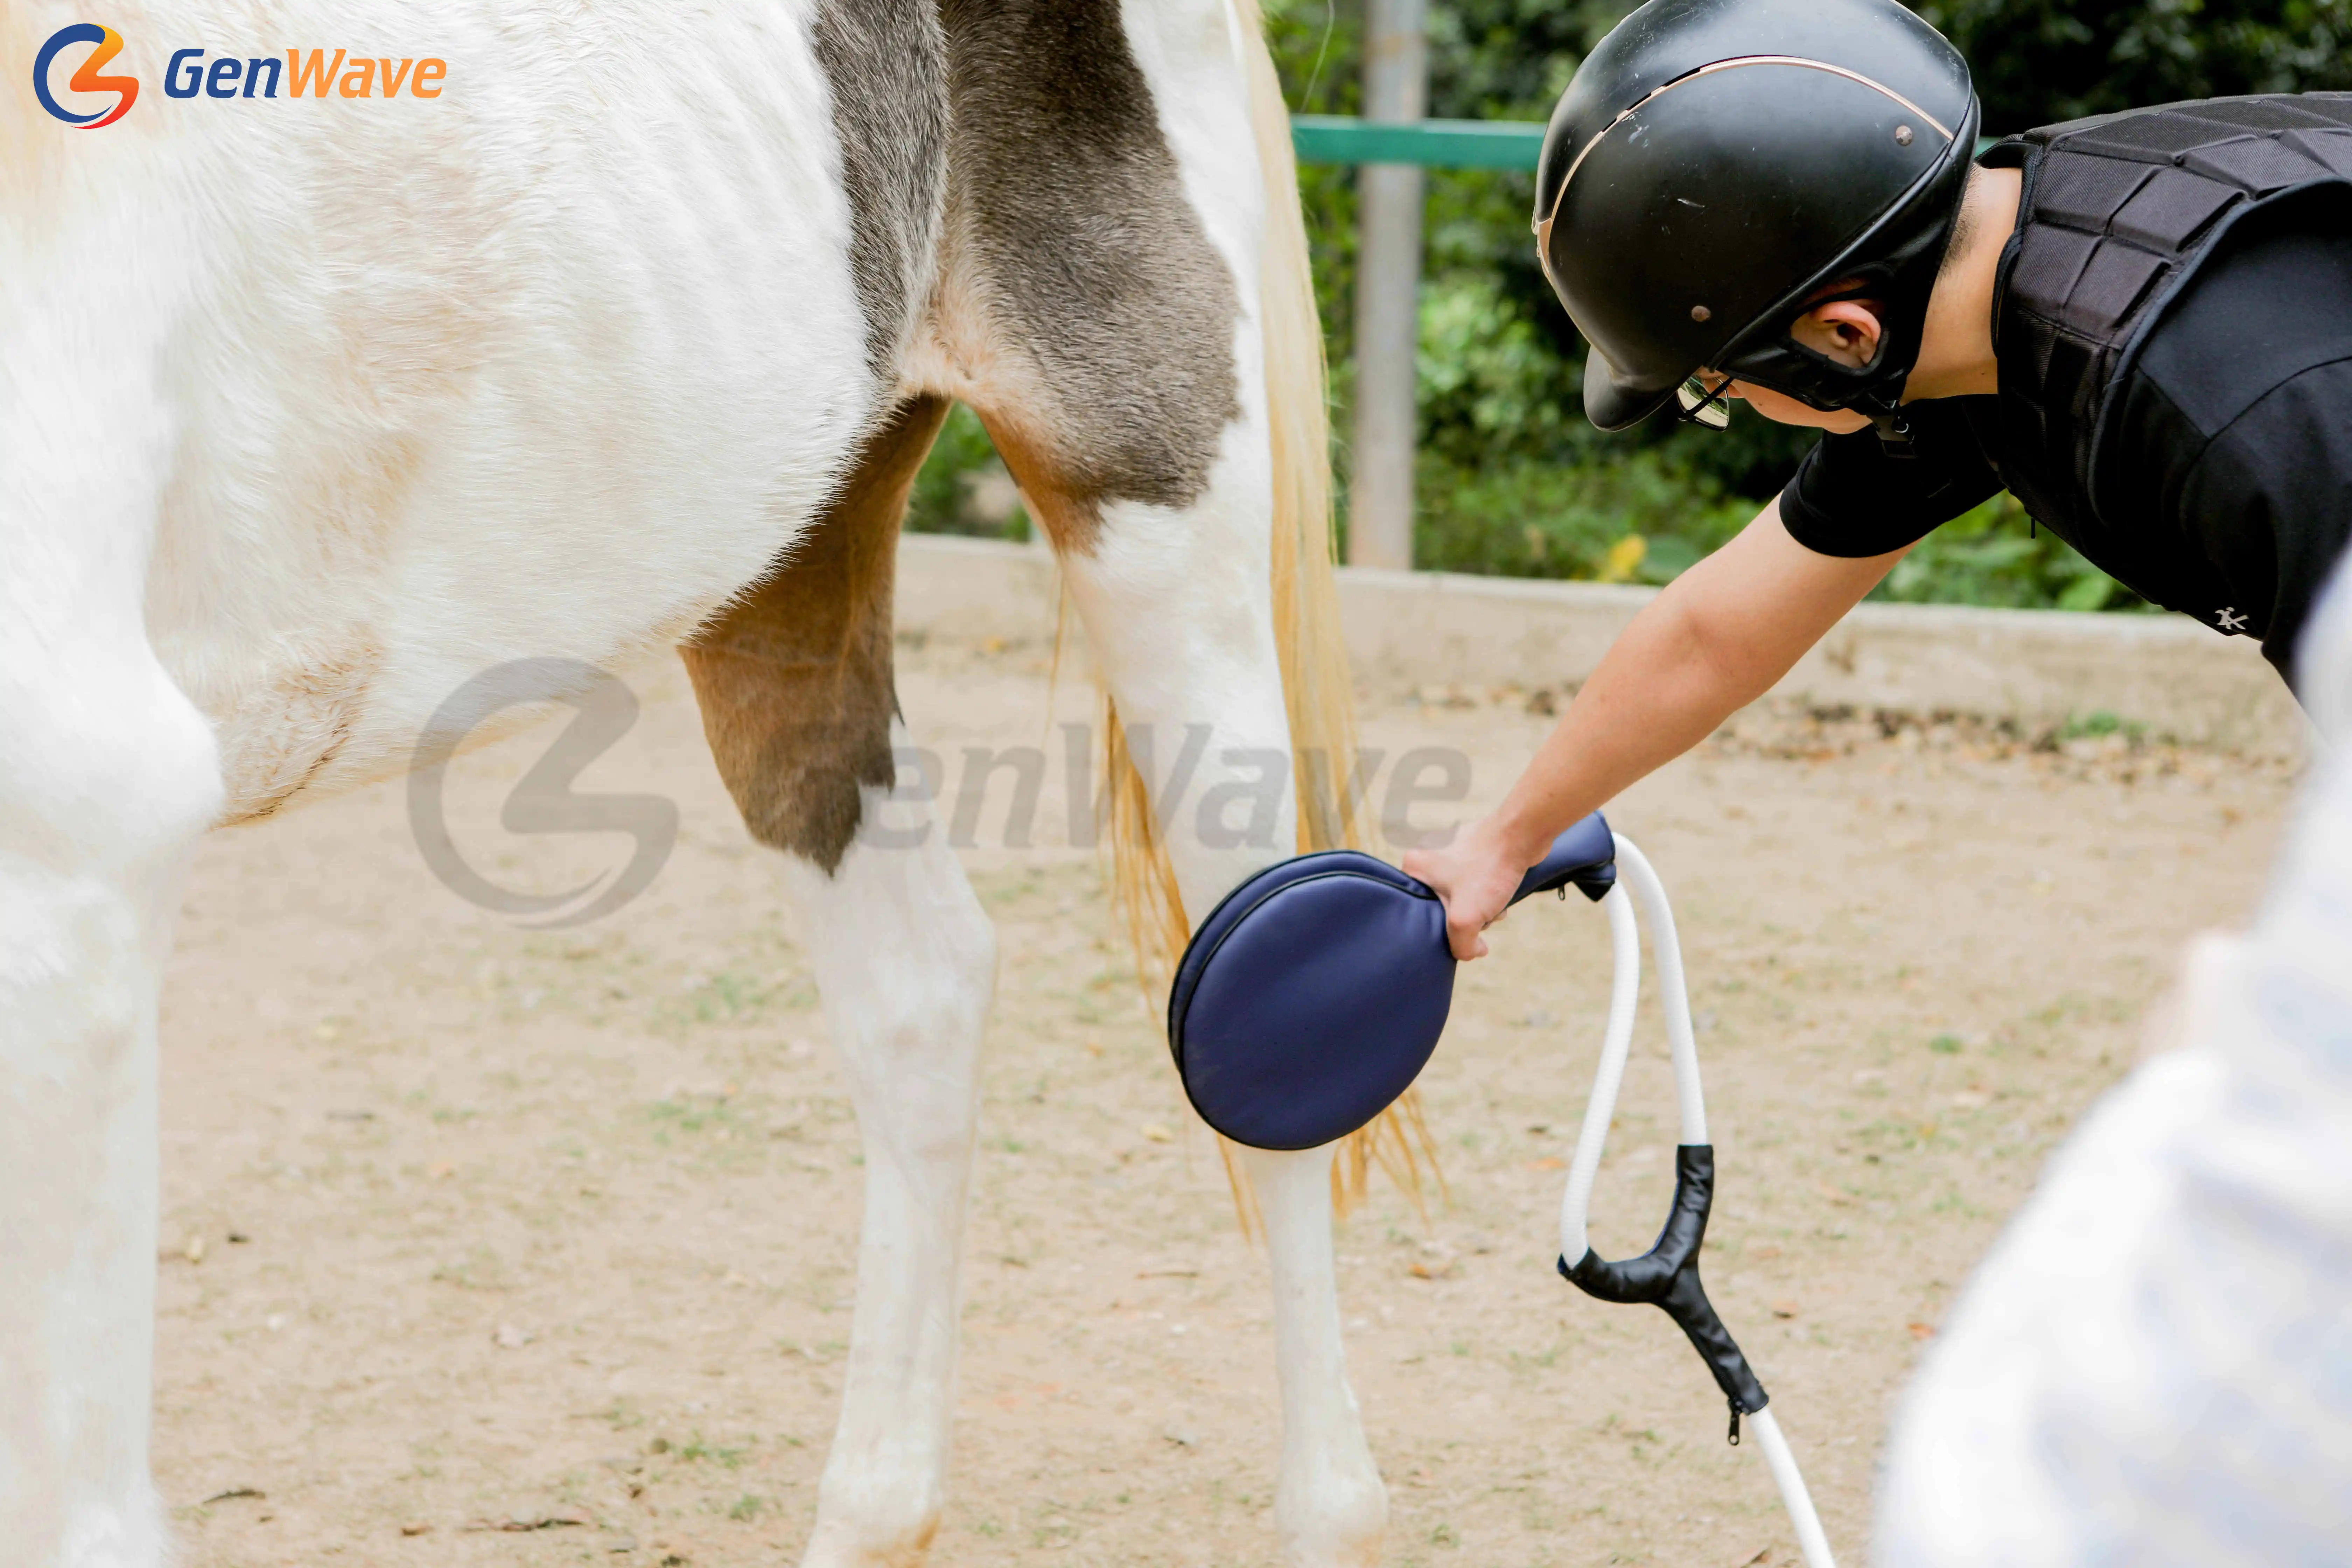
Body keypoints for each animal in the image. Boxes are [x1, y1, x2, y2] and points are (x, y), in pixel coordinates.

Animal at [1, 2, 1417, 1563]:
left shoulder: (80, 858)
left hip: (1158, 516)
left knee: (1274, 1000)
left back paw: (1330, 1510)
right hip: (790, 565)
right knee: (923, 994)